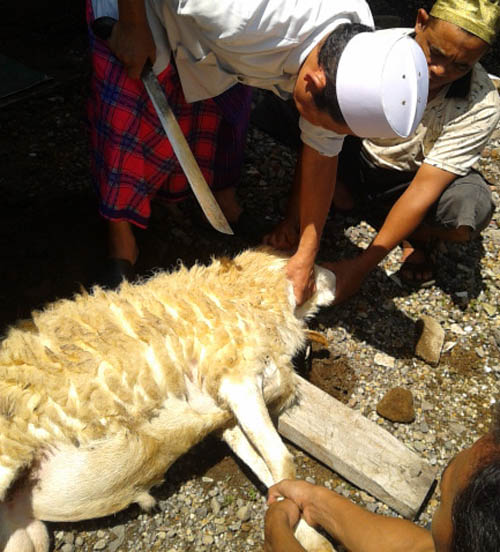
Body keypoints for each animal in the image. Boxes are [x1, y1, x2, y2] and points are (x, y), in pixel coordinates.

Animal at [0, 248, 336, 548]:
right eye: (308, 268)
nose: (334, 277)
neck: (247, 296)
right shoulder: (236, 379)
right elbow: (283, 461)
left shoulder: (227, 413)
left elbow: (267, 470)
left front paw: (313, 539)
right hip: (7, 457)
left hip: (27, 534)